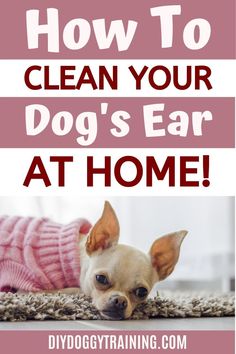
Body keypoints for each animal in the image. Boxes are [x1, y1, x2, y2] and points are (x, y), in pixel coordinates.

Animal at [0, 202, 187, 320]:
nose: (120, 301)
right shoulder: (26, 291)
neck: (76, 259)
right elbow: (75, 290)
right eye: (101, 279)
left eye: (142, 292)